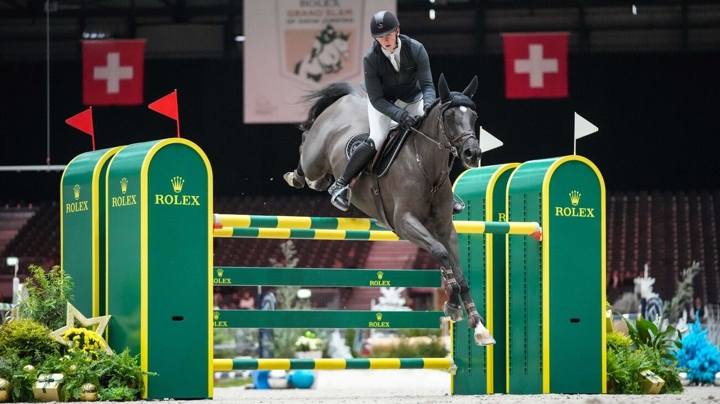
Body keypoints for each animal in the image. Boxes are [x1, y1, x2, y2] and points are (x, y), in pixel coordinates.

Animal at [286, 74, 496, 346]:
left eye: (474, 116)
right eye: (450, 116)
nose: (473, 153)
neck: (426, 167)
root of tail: (346, 100)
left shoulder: (444, 229)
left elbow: (459, 274)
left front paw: (478, 325)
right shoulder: (404, 222)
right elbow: (441, 254)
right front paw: (452, 304)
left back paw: (326, 185)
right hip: (315, 157)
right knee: (305, 150)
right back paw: (304, 179)